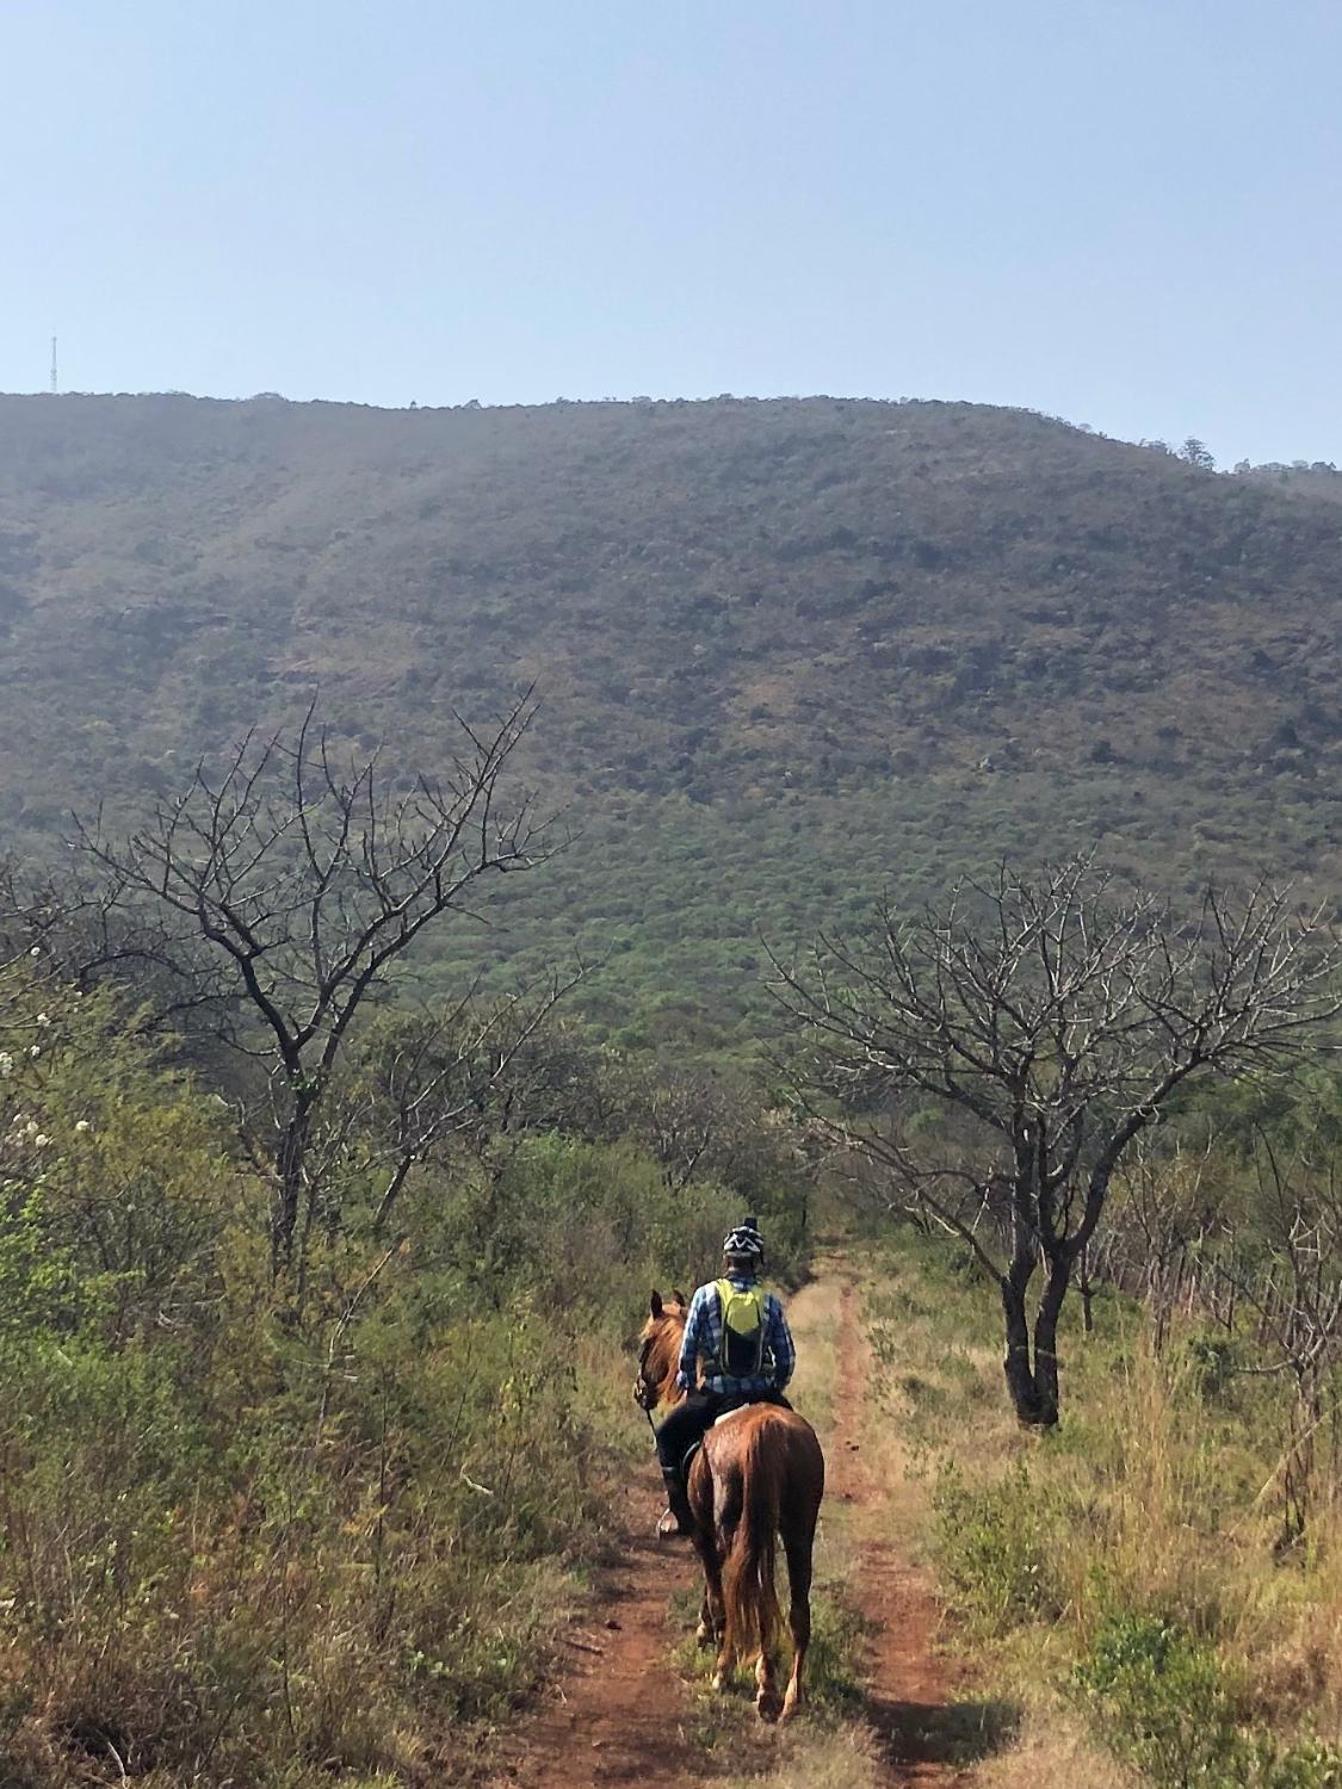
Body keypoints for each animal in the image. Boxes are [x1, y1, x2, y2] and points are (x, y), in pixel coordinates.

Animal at [637, 1288, 826, 1717]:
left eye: (645, 1342)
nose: (640, 1391)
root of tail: (766, 1429)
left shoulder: (702, 1533)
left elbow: (715, 1590)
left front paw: (706, 1631)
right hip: (796, 1531)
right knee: (793, 1608)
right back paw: (790, 1695)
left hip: (734, 1530)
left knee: (746, 1596)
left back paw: (740, 1677)